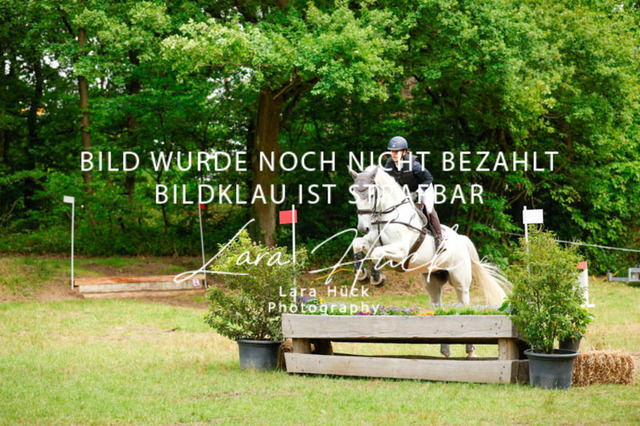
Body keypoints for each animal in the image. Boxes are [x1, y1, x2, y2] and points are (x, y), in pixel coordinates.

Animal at [349, 165, 511, 357]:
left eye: (372, 195)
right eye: (354, 195)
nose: (363, 228)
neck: (386, 215)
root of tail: (461, 240)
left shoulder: (401, 251)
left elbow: (376, 253)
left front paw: (376, 278)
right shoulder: (372, 241)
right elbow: (358, 244)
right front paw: (362, 275)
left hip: (460, 282)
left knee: (465, 306)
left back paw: (470, 351)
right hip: (432, 281)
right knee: (437, 307)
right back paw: (445, 350)